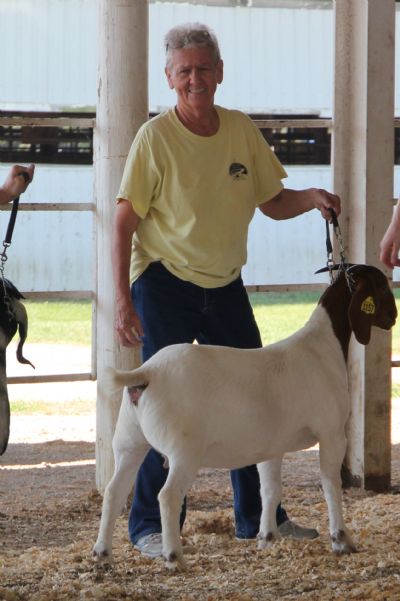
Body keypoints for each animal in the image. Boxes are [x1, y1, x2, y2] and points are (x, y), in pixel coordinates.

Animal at [93, 264, 396, 568]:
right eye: (382, 286)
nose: (393, 317)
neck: (323, 345)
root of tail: (147, 372)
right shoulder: (332, 432)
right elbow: (331, 485)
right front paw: (342, 540)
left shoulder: (273, 446)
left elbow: (270, 490)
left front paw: (267, 537)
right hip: (184, 451)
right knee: (167, 496)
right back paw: (173, 556)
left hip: (129, 441)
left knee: (114, 491)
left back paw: (102, 553)